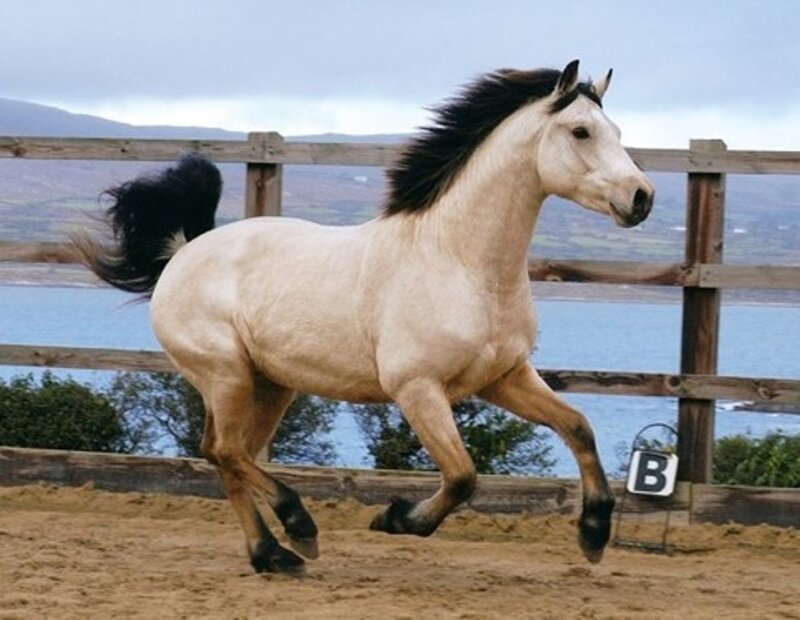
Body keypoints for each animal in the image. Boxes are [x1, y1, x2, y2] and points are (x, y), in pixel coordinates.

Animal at [74, 59, 654, 575]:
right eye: (580, 131)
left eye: (617, 130)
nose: (641, 197)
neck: (460, 263)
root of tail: (182, 251)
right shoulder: (417, 388)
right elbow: (463, 476)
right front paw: (395, 519)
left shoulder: (503, 377)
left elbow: (578, 427)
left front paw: (594, 535)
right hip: (225, 374)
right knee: (225, 451)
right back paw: (298, 529)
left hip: (268, 385)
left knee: (226, 454)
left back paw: (273, 556)